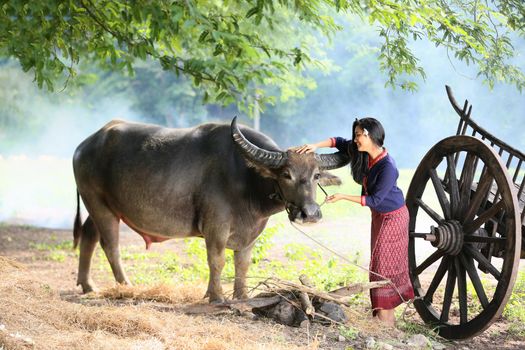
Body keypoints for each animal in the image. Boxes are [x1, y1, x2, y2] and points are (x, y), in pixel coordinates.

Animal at [69, 116, 348, 302]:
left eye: (316, 175)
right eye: (286, 175)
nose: (310, 213)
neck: (246, 178)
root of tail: (84, 146)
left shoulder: (250, 233)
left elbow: (243, 264)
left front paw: (242, 296)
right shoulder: (215, 227)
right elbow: (217, 260)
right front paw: (216, 296)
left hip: (102, 205)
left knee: (89, 235)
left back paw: (88, 285)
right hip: (98, 204)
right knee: (110, 244)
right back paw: (126, 285)